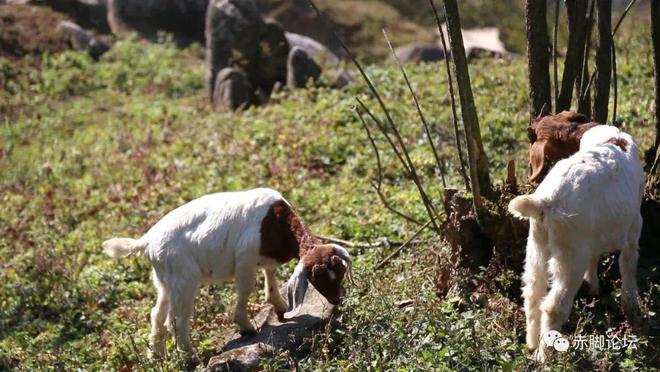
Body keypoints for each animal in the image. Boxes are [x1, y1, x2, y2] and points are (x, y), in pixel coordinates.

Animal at [508, 125, 640, 360]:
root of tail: (545, 201)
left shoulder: (592, 238)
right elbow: (628, 265)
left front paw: (593, 287)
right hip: (570, 255)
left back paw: (531, 343)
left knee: (532, 292)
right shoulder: (634, 226)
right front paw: (631, 306)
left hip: (537, 244)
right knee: (553, 306)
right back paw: (545, 356)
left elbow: (595, 257)